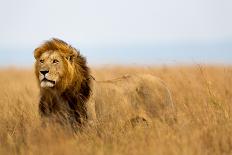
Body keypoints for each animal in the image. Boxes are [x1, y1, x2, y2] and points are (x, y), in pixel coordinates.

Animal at [33, 37, 175, 128]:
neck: (58, 93)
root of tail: (162, 82)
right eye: (41, 61)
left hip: (163, 120)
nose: (43, 72)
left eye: (55, 61)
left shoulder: (89, 125)